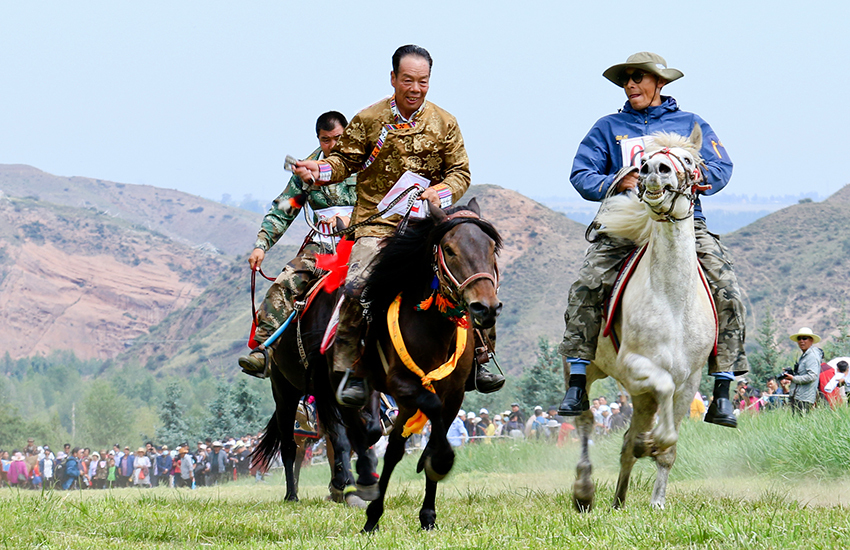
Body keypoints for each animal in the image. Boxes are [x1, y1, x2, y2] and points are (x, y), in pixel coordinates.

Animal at [356, 201, 500, 532]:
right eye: (449, 249)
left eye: (491, 248)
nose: (485, 308)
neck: (433, 329)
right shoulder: (402, 384)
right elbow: (431, 412)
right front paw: (441, 461)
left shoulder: (455, 393)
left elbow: (436, 429)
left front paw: (428, 514)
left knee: (394, 447)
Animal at [572, 125, 720, 512]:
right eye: (643, 161)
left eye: (689, 160)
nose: (655, 170)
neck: (672, 301)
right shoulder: (636, 365)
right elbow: (662, 391)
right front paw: (652, 441)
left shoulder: (690, 379)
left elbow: (667, 448)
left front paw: (657, 502)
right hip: (585, 370)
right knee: (585, 419)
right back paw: (584, 491)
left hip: (640, 397)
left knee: (627, 441)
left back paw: (620, 498)